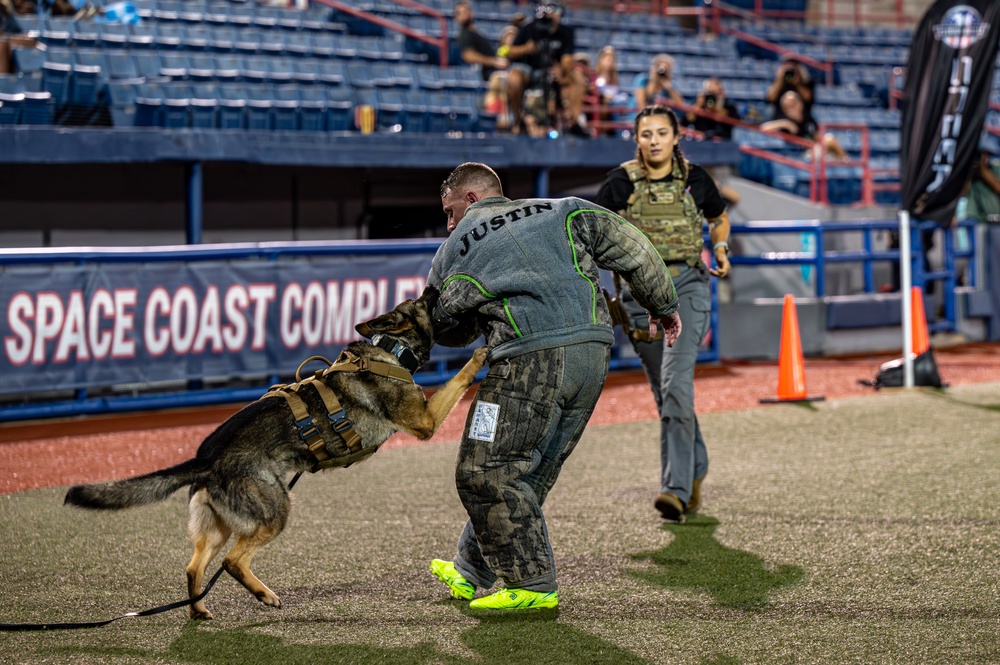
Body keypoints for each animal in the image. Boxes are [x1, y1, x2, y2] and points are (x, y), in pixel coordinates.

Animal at [64, 288, 486, 620]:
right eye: (421, 301)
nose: (434, 287)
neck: (389, 350)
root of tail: (206, 459)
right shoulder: (426, 421)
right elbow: (458, 378)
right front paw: (481, 356)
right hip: (275, 510)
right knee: (232, 561)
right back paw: (264, 595)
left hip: (220, 526)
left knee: (193, 566)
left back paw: (199, 611)